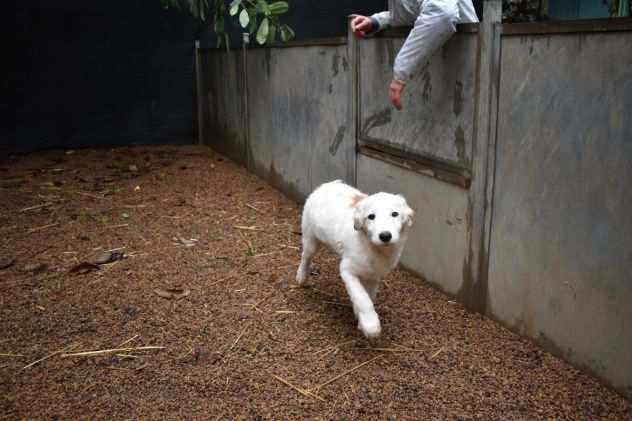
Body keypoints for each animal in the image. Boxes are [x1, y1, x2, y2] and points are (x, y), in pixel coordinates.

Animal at [298, 179, 414, 336]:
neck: (374, 247)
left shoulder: (373, 276)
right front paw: (371, 325)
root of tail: (327, 184)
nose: (385, 236)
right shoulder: (347, 271)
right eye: (371, 217)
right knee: (306, 257)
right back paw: (301, 277)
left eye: (394, 214)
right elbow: (362, 298)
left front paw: (360, 319)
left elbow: (368, 296)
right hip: (311, 239)